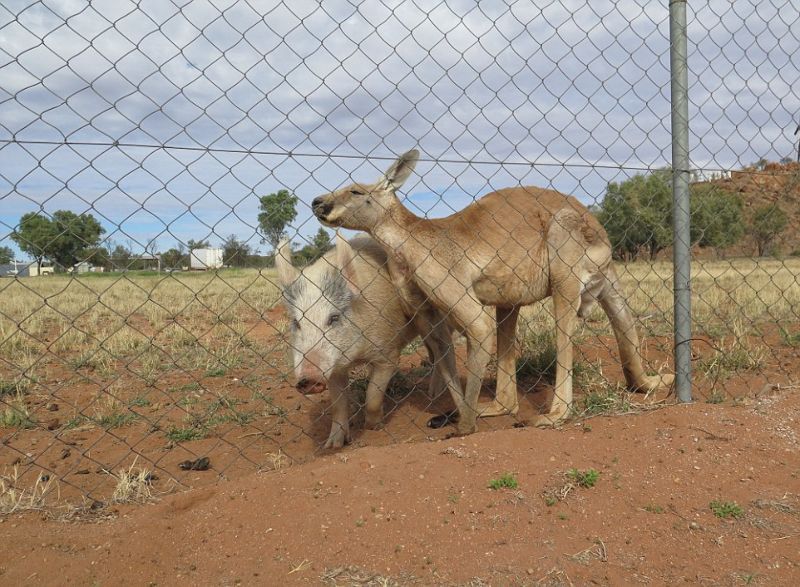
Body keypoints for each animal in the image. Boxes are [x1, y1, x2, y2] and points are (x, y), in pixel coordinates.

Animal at [276, 232, 456, 448]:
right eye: (296, 322)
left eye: (334, 318)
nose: (307, 379)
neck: (356, 356)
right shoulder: (334, 367)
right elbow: (338, 405)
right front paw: (333, 445)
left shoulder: (388, 352)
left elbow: (373, 396)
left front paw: (374, 427)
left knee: (445, 348)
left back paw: (435, 394)